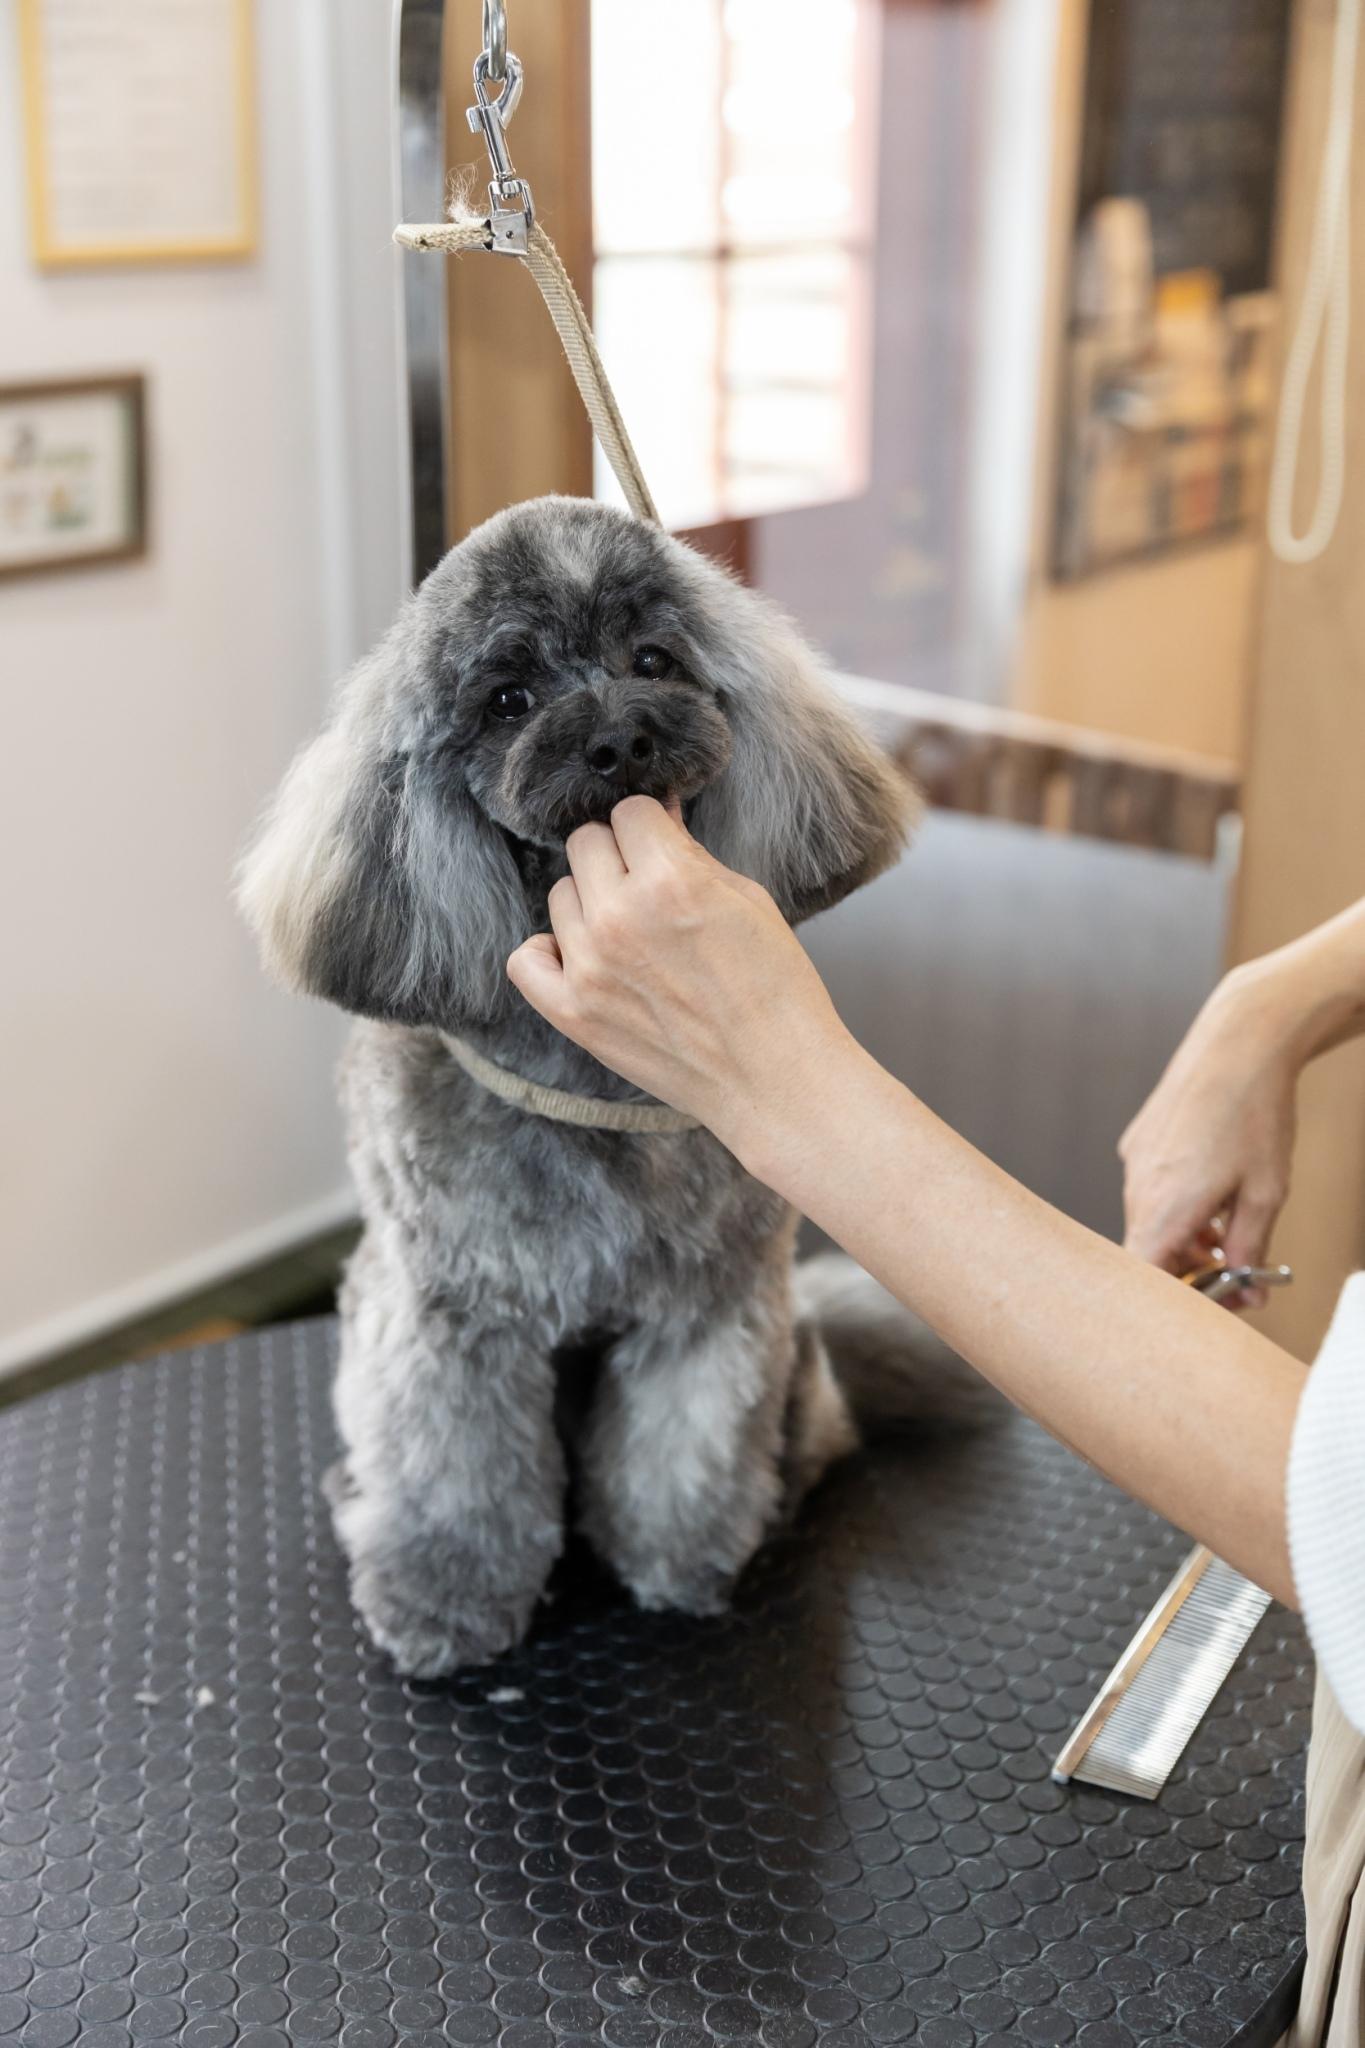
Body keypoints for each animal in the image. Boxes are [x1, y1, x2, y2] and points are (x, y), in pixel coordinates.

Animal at [237, 499, 970, 1679]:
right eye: (508, 698)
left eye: (654, 659)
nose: (620, 737)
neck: (592, 1075)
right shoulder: (451, 1315)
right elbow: (453, 1473)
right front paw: (445, 1605)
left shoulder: (709, 1305)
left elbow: (684, 1448)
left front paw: (679, 1567)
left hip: (790, 1348)